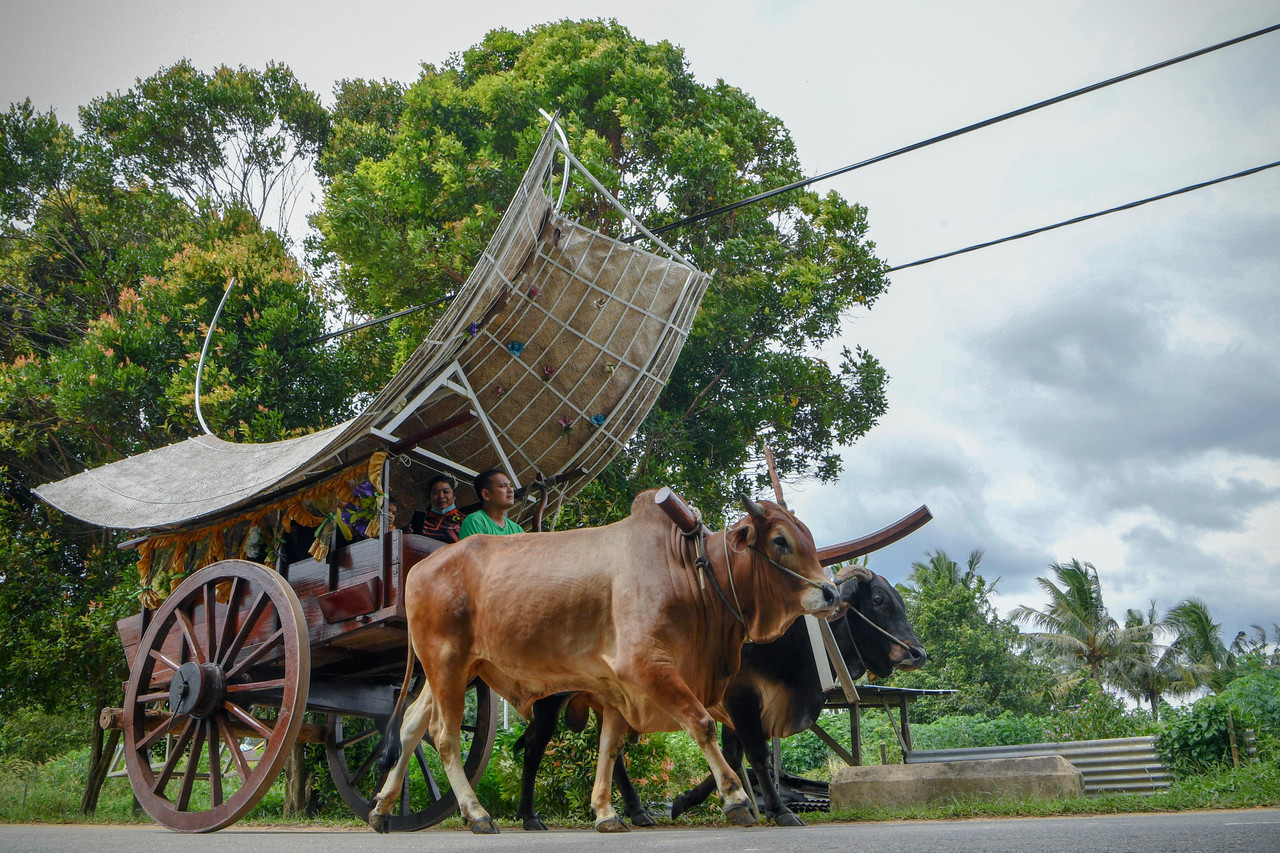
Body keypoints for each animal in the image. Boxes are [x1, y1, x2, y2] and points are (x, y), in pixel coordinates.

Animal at [366, 489, 839, 824]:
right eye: (779, 540)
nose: (831, 593)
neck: (690, 573)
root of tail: (418, 568)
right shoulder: (647, 667)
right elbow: (702, 724)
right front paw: (737, 798)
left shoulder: (619, 688)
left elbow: (610, 748)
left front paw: (607, 812)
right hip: (446, 662)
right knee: (444, 736)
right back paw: (476, 813)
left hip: (456, 669)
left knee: (410, 727)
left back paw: (382, 807)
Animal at [514, 563, 926, 824]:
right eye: (878, 601)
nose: (917, 652)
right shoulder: (742, 698)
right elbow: (757, 756)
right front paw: (780, 811)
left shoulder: (734, 709)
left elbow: (732, 757)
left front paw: (687, 802)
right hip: (549, 701)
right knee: (535, 749)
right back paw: (529, 816)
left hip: (610, 703)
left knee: (612, 754)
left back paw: (636, 812)